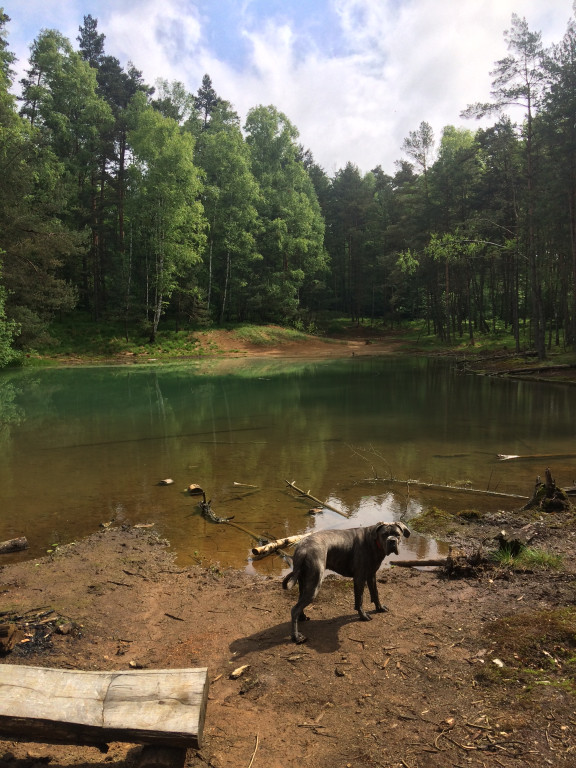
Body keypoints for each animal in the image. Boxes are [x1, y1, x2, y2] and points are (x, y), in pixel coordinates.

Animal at [282, 520, 410, 640]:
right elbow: (359, 600)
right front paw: (363, 616)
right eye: (384, 535)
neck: (374, 541)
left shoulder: (371, 575)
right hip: (314, 584)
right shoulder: (359, 578)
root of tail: (302, 548)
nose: (392, 541)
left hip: (304, 583)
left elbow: (375, 594)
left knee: (299, 603)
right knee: (294, 609)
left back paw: (302, 618)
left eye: (397, 534)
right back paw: (296, 637)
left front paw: (379, 608)